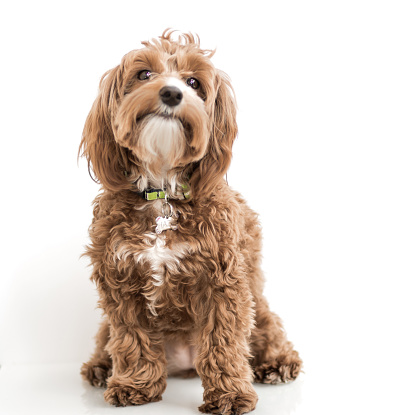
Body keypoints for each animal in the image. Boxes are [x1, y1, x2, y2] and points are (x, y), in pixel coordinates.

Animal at [79, 30, 302, 415]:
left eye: (194, 82)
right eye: (144, 74)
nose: (171, 93)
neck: (162, 189)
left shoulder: (224, 283)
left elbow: (224, 343)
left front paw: (229, 394)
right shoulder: (120, 279)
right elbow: (132, 338)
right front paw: (134, 384)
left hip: (259, 305)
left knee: (266, 331)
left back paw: (276, 363)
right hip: (106, 325)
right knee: (108, 340)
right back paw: (100, 367)